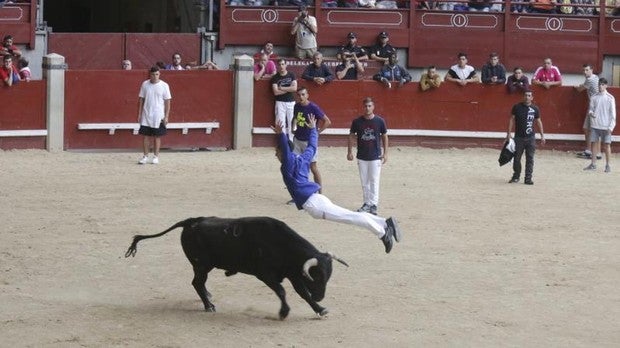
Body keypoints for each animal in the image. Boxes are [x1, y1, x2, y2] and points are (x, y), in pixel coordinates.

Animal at [124, 216, 348, 320]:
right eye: (316, 276)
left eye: (327, 277)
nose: (321, 296)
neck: (282, 244)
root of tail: (191, 221)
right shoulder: (265, 274)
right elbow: (282, 291)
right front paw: (283, 313)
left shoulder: (293, 274)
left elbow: (302, 293)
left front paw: (320, 309)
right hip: (201, 265)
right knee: (196, 282)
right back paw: (209, 306)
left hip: (203, 266)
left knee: (199, 284)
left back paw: (209, 298)